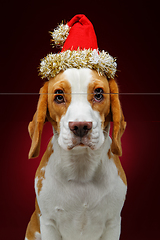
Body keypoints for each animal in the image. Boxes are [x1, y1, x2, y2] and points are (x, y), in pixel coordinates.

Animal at [25, 68, 127, 240]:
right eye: (59, 96)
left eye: (99, 93)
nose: (80, 126)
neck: (82, 165)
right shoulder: (48, 223)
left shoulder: (113, 223)